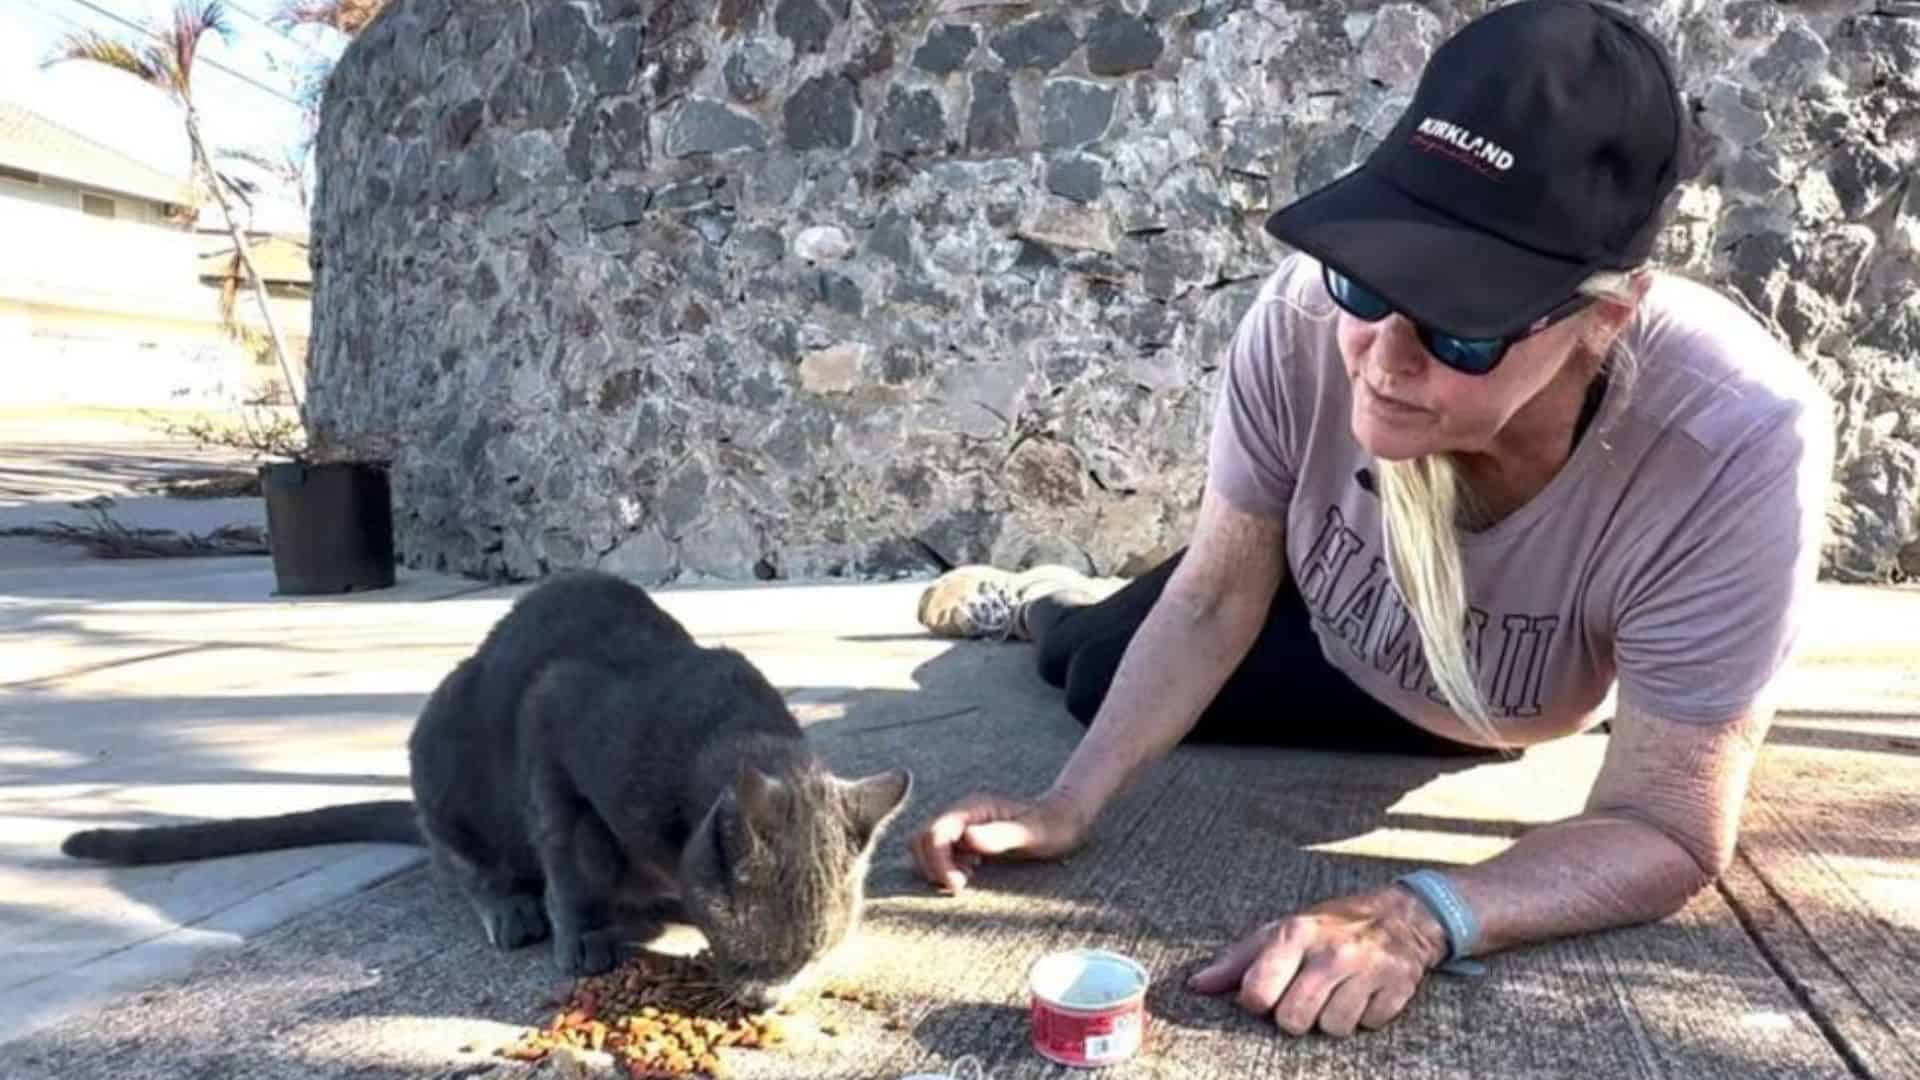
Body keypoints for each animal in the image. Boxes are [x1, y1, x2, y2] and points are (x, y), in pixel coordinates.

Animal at [63, 568, 917, 1006]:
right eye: (755, 952)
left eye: (815, 955)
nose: (770, 999)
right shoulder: (554, 732)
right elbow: (573, 864)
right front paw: (582, 937)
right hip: (442, 751)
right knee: (463, 860)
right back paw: (513, 906)